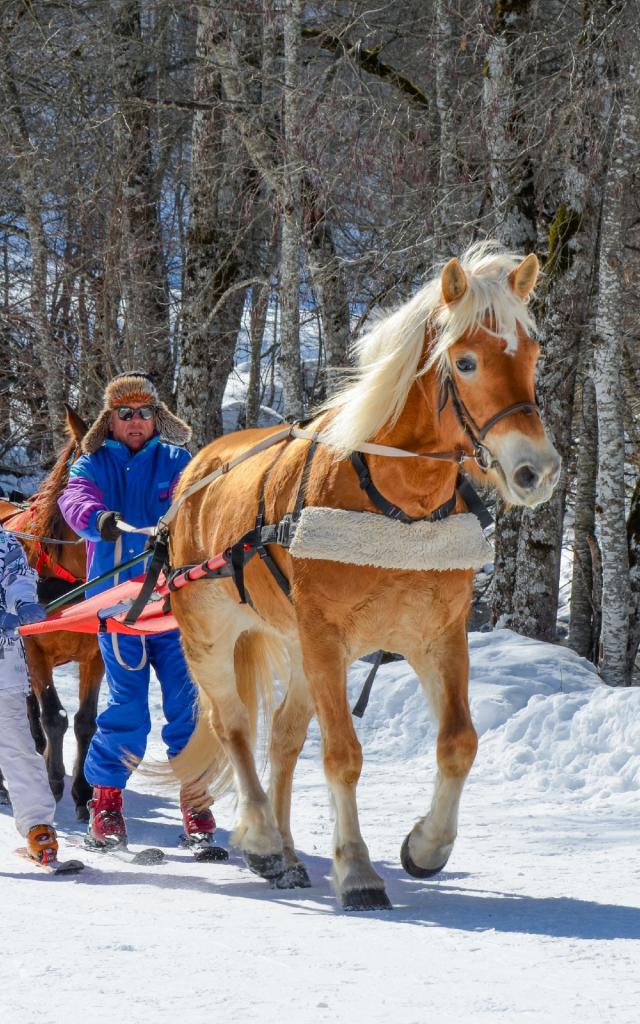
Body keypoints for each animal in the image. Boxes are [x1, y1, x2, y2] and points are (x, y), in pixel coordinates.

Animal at [0, 405, 103, 815]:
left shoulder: (95, 654)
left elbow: (86, 720)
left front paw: (83, 792)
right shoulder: (34, 648)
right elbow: (54, 715)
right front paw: (55, 782)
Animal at [164, 241, 557, 913]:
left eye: (530, 353)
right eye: (467, 361)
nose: (536, 470)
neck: (398, 500)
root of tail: (198, 468)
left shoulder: (437, 637)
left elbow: (459, 742)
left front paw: (426, 846)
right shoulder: (326, 637)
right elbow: (343, 755)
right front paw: (357, 869)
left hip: (297, 648)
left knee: (283, 738)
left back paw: (288, 854)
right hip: (210, 632)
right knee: (233, 726)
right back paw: (262, 838)